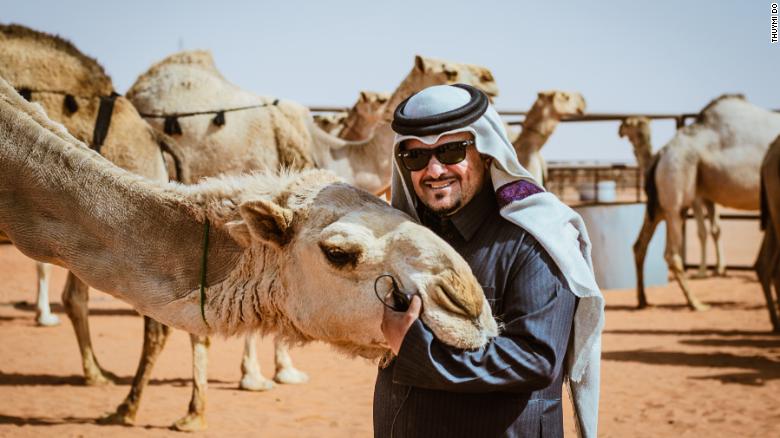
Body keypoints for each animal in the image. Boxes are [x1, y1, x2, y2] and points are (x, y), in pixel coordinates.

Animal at [632, 95, 780, 312]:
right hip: (678, 190)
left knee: (639, 245)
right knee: (671, 253)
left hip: (660, 203)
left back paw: (643, 300)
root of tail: (662, 154)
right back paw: (696, 303)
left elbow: (713, 229)